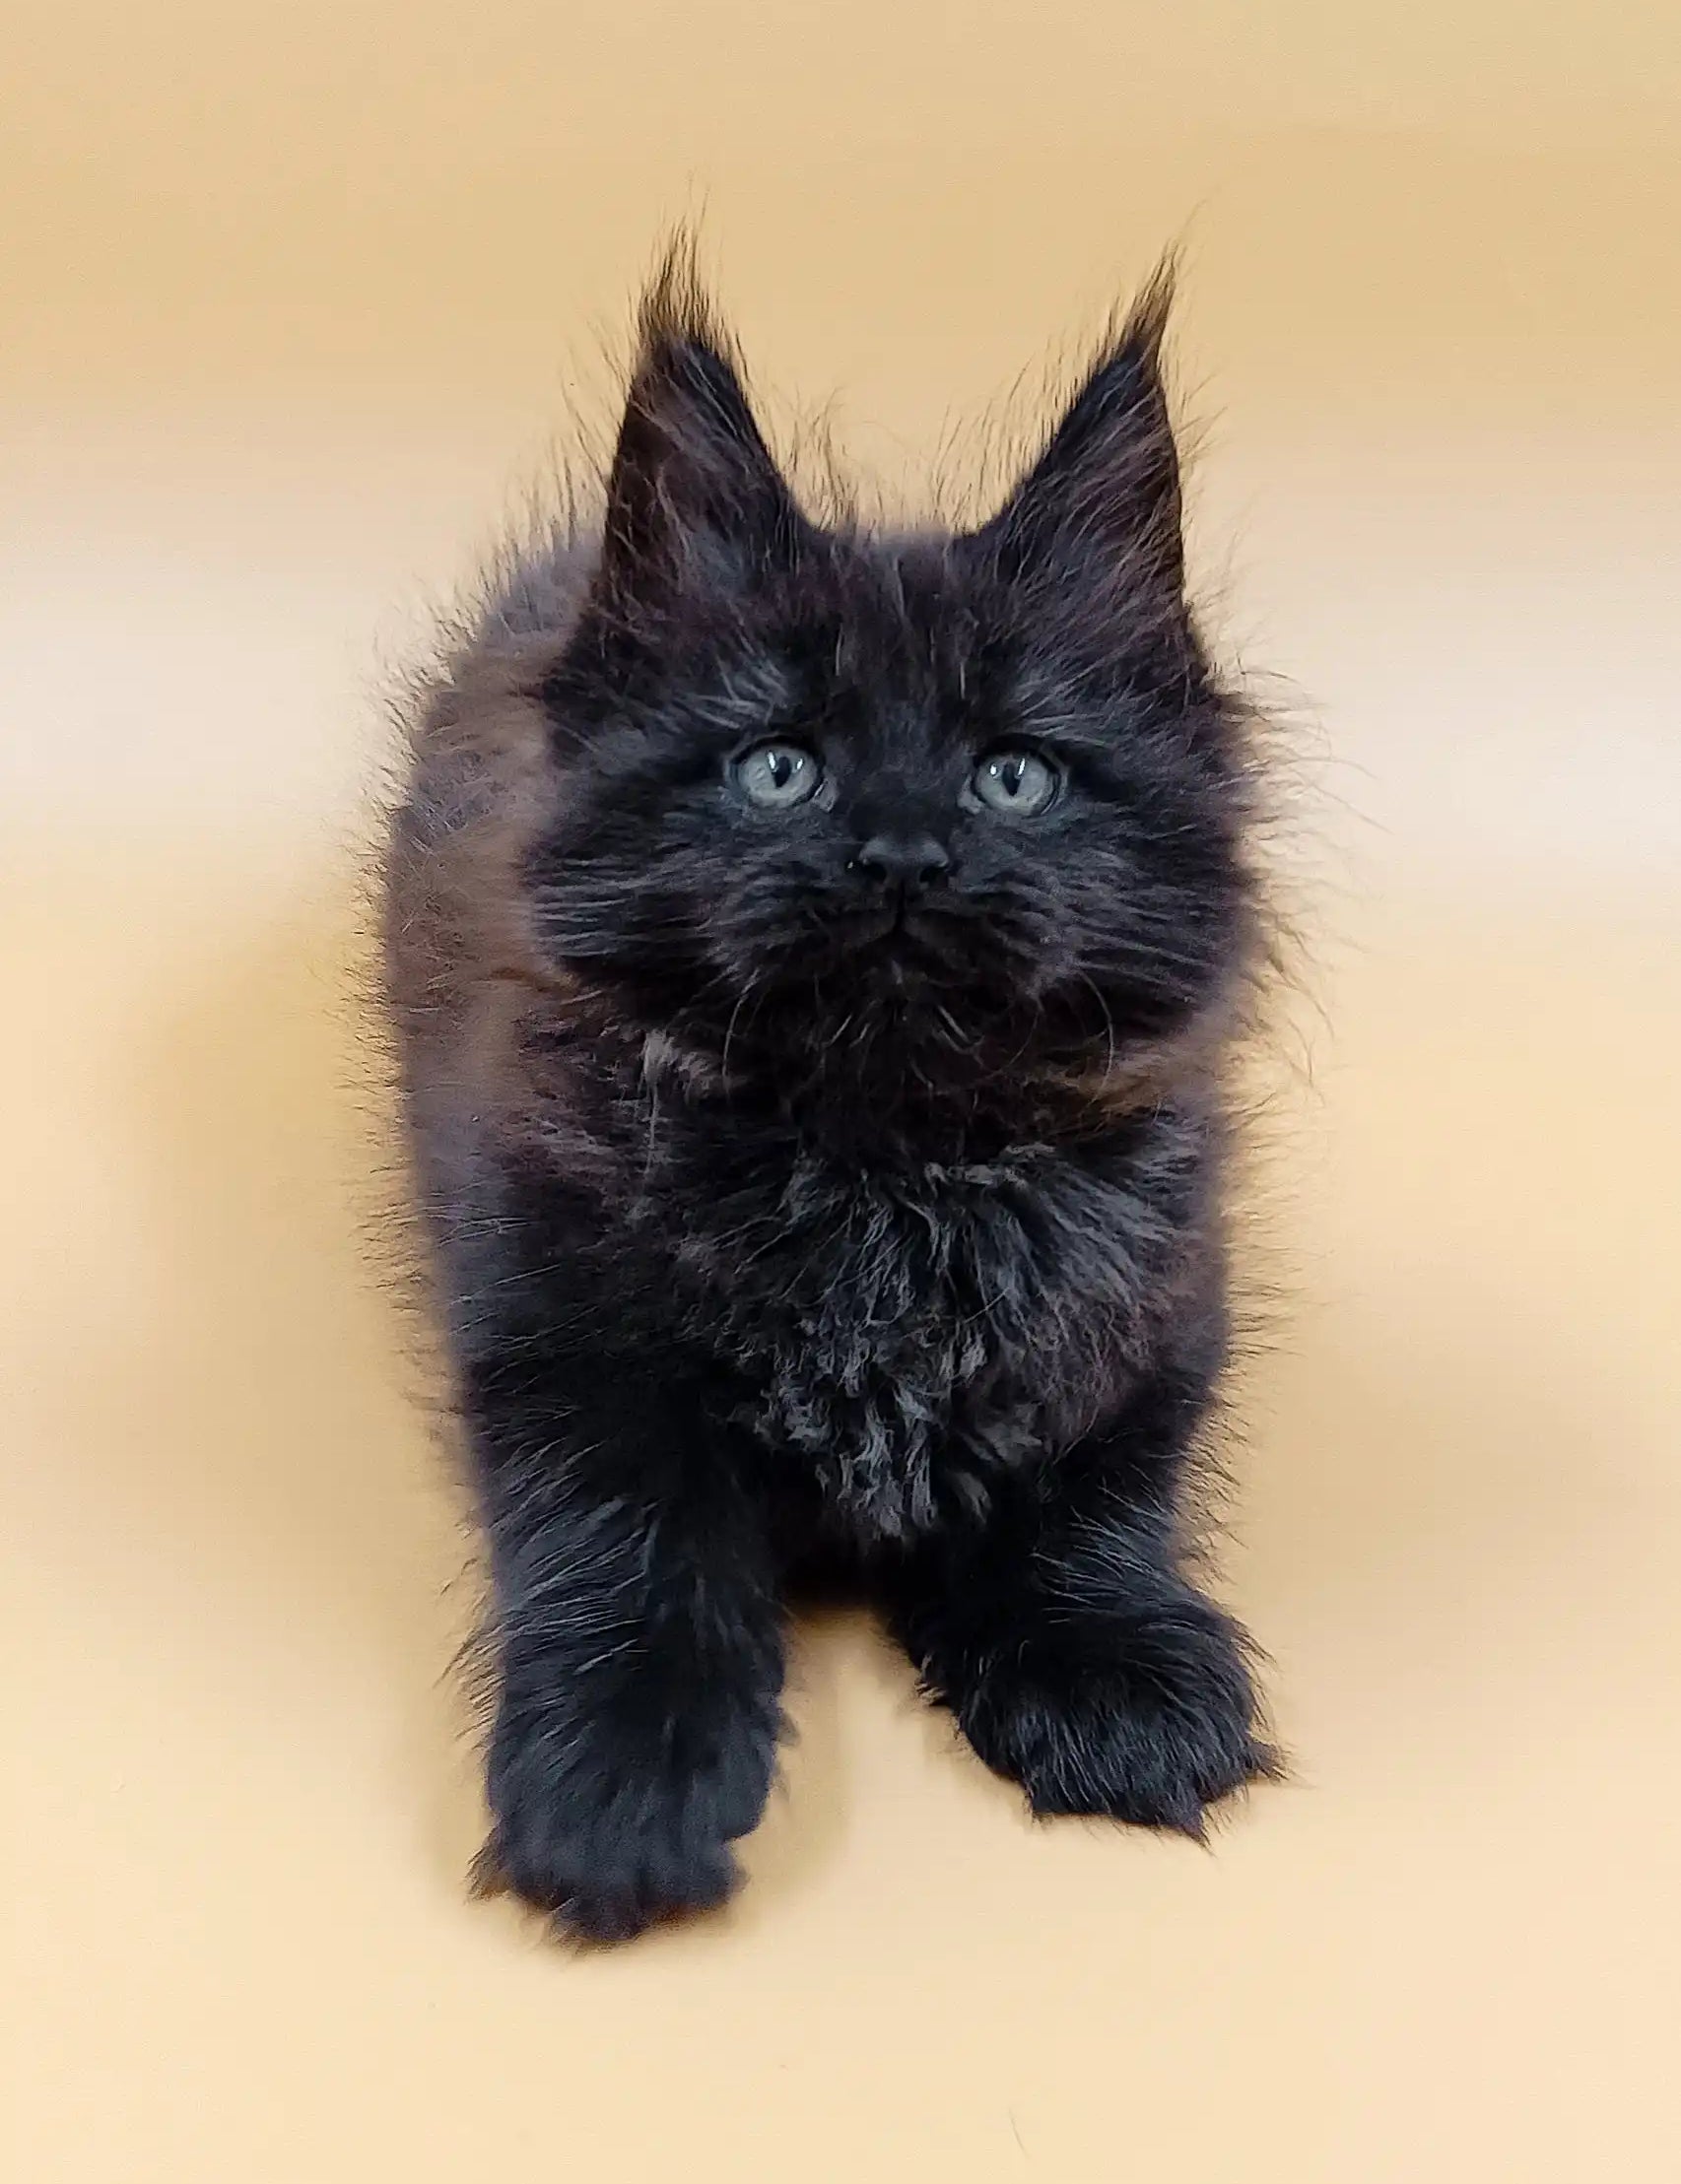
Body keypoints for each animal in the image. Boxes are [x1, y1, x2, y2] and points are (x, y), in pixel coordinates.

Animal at [379, 255, 1274, 1948]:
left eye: (1013, 777)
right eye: (777, 769)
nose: (904, 856)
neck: (883, 1171)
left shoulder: (1158, 1299)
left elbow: (1095, 1496)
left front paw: (1112, 1672)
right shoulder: (550, 1309)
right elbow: (623, 1538)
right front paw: (621, 1787)